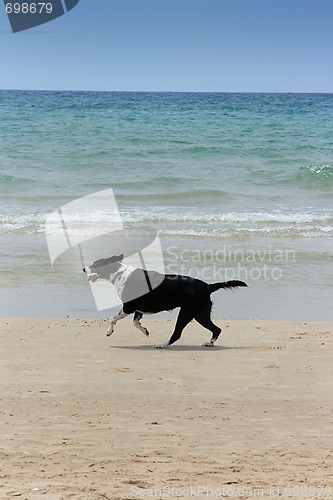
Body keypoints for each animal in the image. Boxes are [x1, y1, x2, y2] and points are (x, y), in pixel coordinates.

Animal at [82, 254, 246, 348]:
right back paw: (209, 343)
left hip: (187, 312)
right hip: (200, 314)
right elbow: (135, 322)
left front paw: (109, 332)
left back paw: (163, 344)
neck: (119, 273)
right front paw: (145, 330)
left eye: (95, 264)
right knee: (216, 329)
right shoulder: (138, 309)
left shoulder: (128, 307)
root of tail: (207, 286)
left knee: (177, 334)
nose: (84, 269)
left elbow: (112, 318)